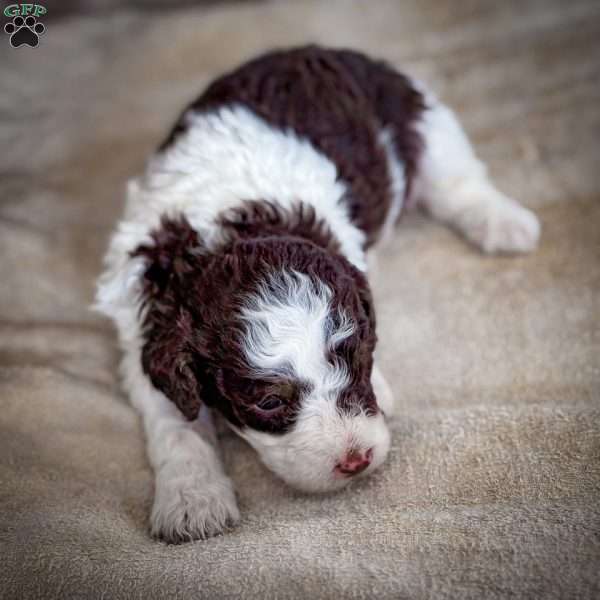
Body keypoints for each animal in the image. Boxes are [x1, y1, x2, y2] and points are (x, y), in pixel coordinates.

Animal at [96, 45, 540, 544]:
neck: (225, 231)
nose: (357, 460)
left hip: (422, 117)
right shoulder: (141, 330)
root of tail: (314, 50)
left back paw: (505, 223)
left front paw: (382, 387)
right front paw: (192, 501)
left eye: (359, 359)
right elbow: (176, 423)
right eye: (269, 402)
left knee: (458, 181)